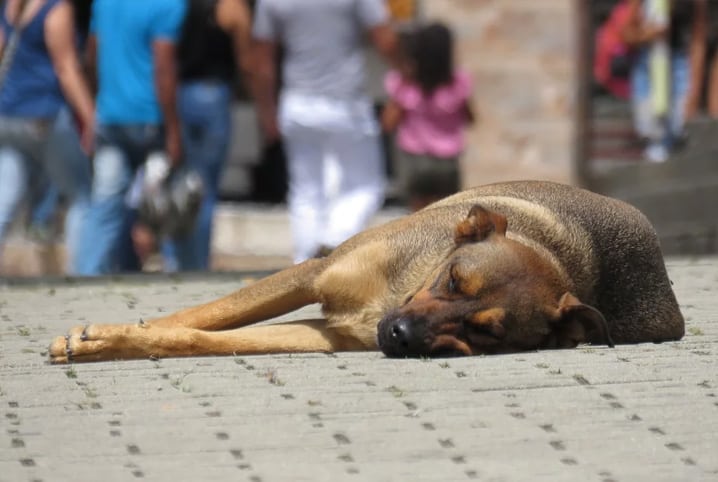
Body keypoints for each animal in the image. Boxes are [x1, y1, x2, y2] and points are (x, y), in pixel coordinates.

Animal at [49, 183, 688, 364]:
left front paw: (112, 341)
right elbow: (202, 315)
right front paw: (103, 337)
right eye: (453, 281)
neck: (393, 295)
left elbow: (197, 337)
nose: (399, 336)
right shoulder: (313, 273)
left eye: (486, 331)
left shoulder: (329, 334)